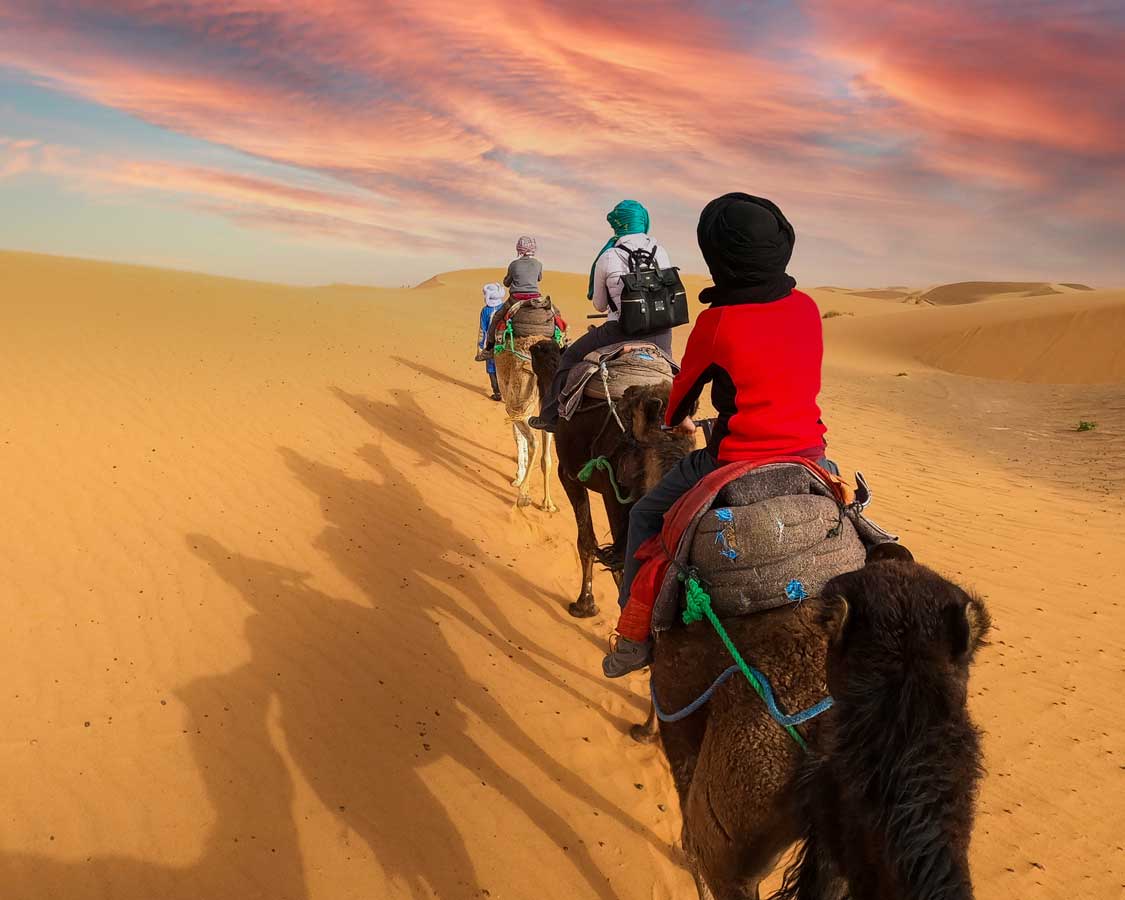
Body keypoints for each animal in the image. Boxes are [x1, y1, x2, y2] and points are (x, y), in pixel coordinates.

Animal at [497, 333, 558, 510]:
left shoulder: (512, 403)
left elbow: (517, 437)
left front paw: (518, 477)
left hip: (517, 400)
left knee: (533, 442)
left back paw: (523, 495)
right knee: (546, 456)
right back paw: (548, 503)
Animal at [528, 337, 693, 621]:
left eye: (540, 351)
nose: (533, 346)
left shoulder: (569, 475)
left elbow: (586, 541)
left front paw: (584, 604)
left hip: (619, 497)